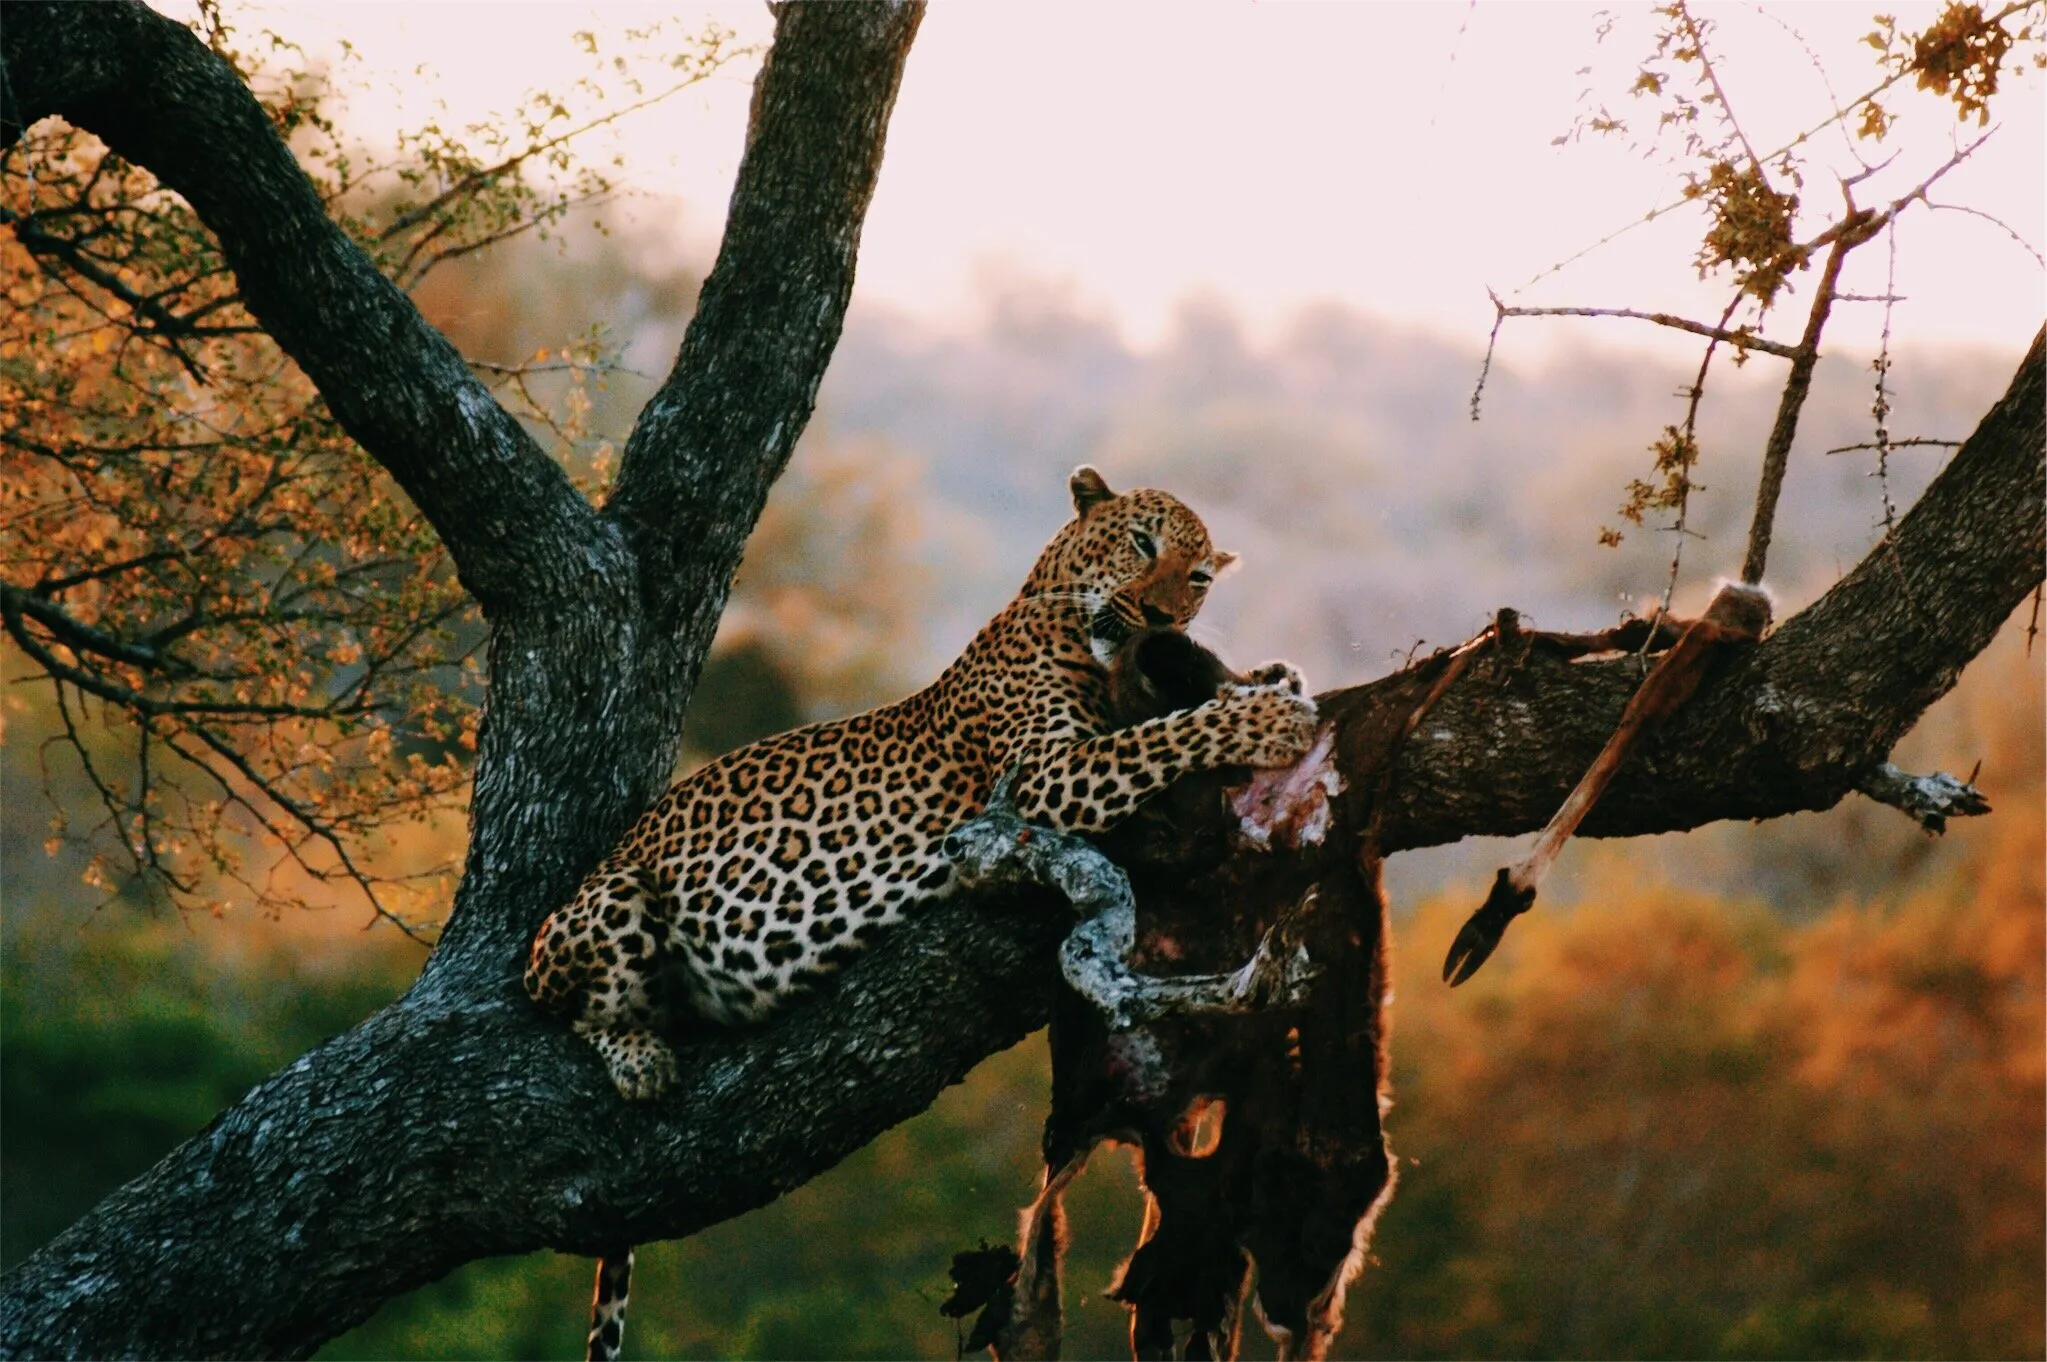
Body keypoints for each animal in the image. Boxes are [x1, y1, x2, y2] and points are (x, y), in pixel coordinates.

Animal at [523, 466, 1317, 1360]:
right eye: (1143, 544)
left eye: (1199, 579)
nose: (1159, 617)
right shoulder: (1045, 777)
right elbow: (1166, 734)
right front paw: (1267, 716)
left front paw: (1270, 676)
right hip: (610, 901)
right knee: (574, 1008)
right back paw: (638, 1057)